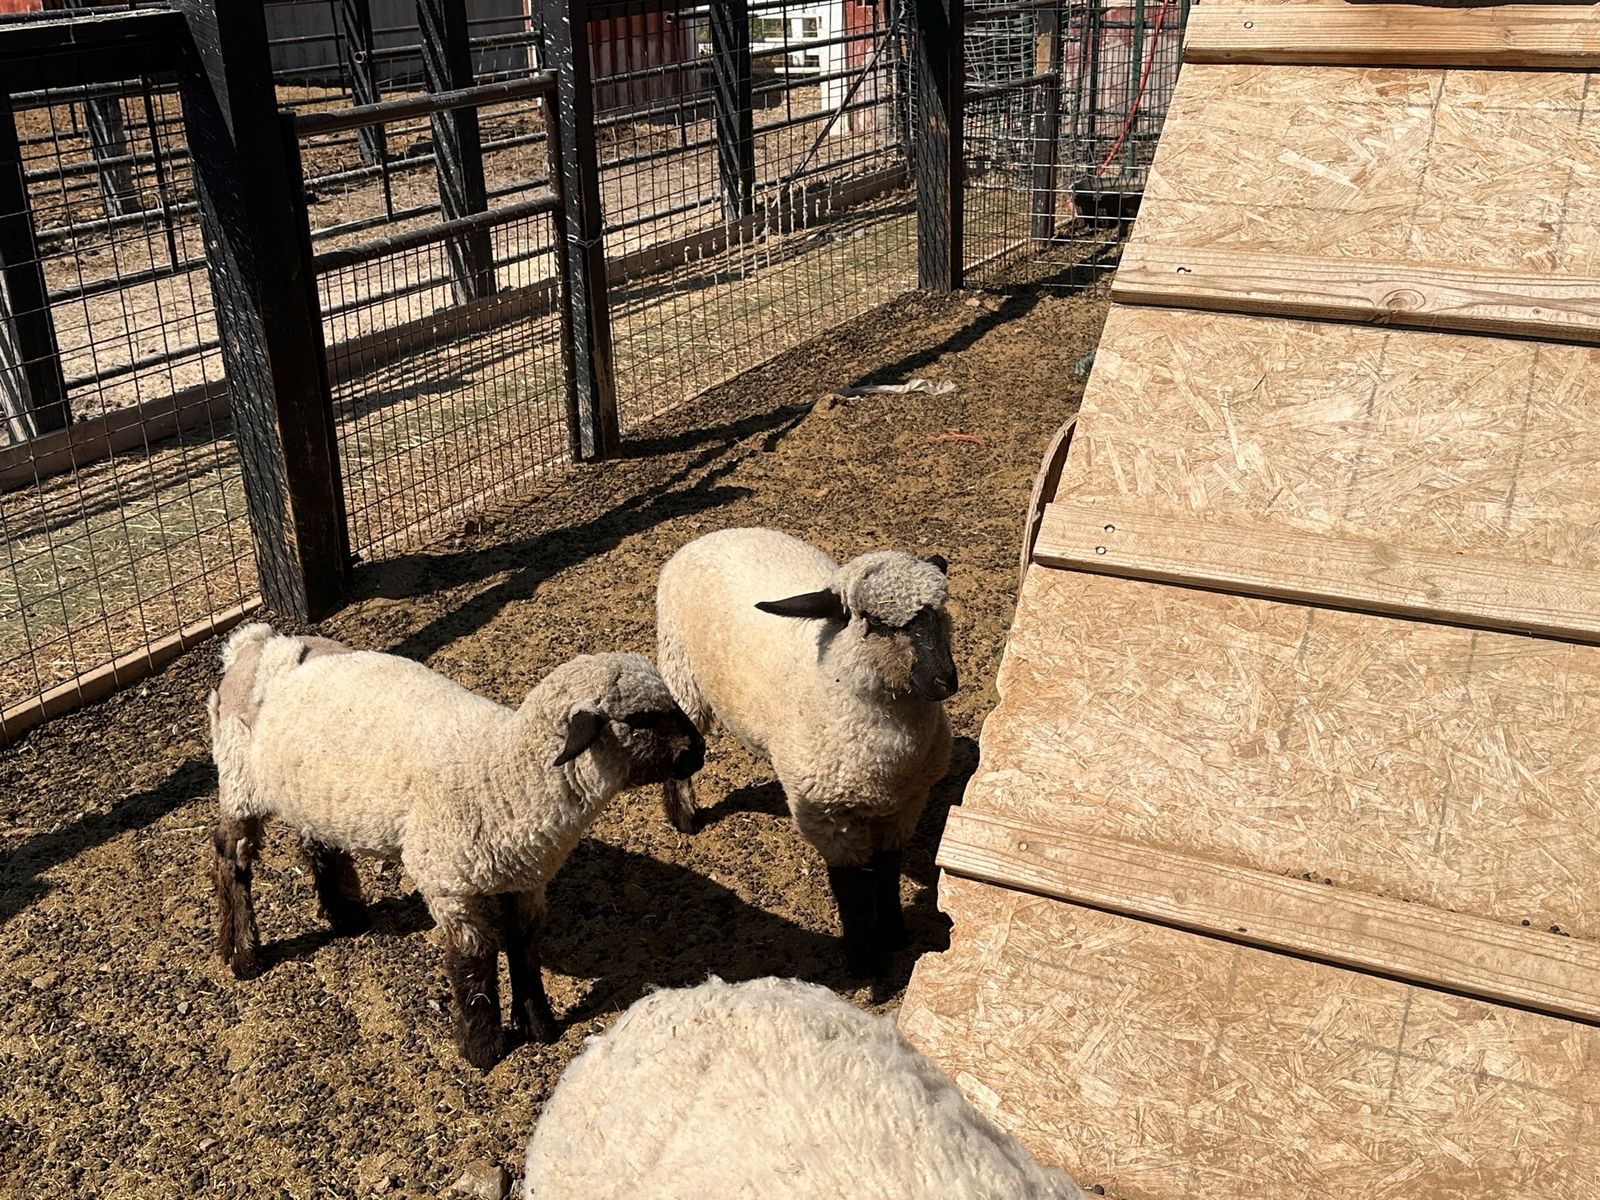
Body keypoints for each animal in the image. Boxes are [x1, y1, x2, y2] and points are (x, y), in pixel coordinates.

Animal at [207, 623, 704, 1069]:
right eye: (639, 719)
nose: (698, 751)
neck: (501, 774)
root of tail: (254, 642)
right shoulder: (448, 884)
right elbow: (474, 960)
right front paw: (482, 1049)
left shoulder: (525, 881)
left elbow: (524, 946)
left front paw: (539, 1026)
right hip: (238, 778)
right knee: (231, 856)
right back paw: (241, 954)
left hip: (311, 791)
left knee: (317, 843)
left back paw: (346, 915)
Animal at [655, 528, 956, 975]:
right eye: (875, 622)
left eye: (939, 610)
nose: (944, 680)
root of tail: (713, 535)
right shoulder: (824, 816)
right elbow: (850, 888)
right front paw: (863, 957)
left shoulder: (907, 803)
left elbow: (887, 872)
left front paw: (895, 934)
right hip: (681, 670)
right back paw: (684, 818)